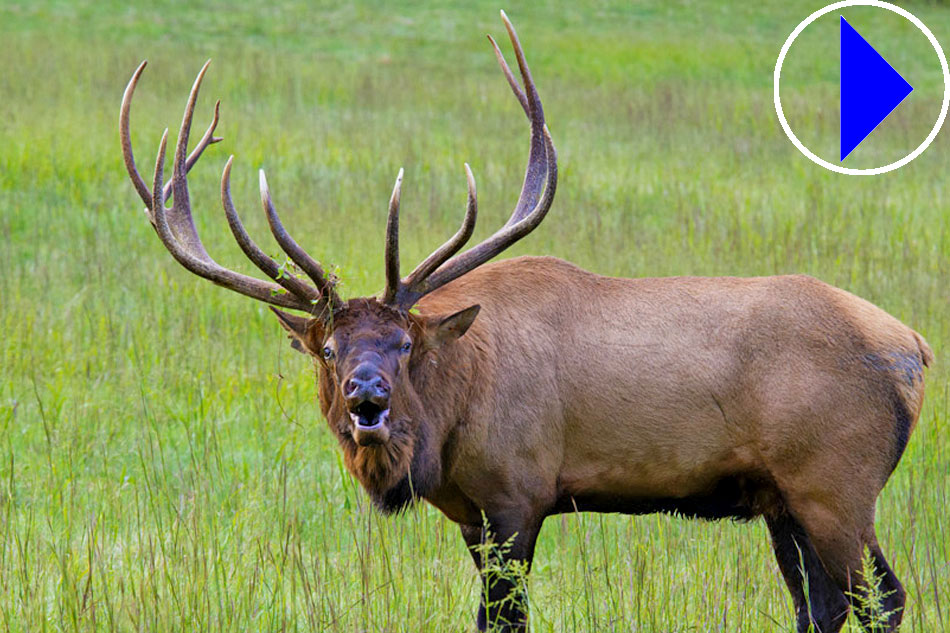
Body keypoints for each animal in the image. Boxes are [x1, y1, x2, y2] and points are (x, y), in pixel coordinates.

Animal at [117, 11, 928, 632]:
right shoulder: (470, 514)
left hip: (836, 481)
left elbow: (504, 619)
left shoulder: (518, 493)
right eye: (327, 348)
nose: (366, 398)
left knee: (883, 597)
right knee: (824, 605)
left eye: (404, 344)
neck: (448, 424)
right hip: (782, 497)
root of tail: (914, 351)